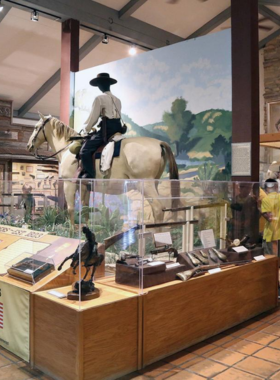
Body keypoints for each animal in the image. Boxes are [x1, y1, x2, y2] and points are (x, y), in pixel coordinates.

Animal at [26, 113, 179, 226]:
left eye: (36, 127)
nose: (28, 146)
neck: (68, 149)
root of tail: (159, 143)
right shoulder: (85, 187)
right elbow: (85, 209)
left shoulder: (70, 184)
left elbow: (70, 209)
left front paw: (72, 232)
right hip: (154, 184)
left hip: (145, 185)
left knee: (158, 208)